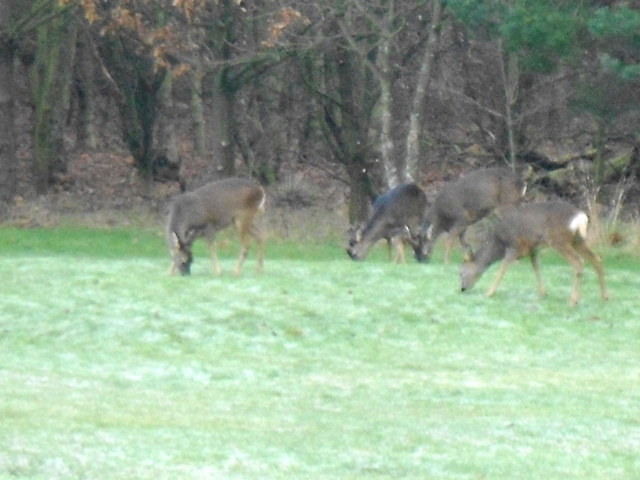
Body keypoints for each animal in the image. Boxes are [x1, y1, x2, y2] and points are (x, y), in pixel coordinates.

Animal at [459, 200, 609, 306]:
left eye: (460, 272)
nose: (462, 289)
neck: (499, 243)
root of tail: (581, 217)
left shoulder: (514, 246)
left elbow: (503, 268)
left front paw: (489, 293)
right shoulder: (533, 249)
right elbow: (536, 266)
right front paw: (543, 292)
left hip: (560, 241)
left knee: (578, 262)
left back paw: (573, 300)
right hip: (577, 241)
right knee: (596, 259)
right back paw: (605, 297)